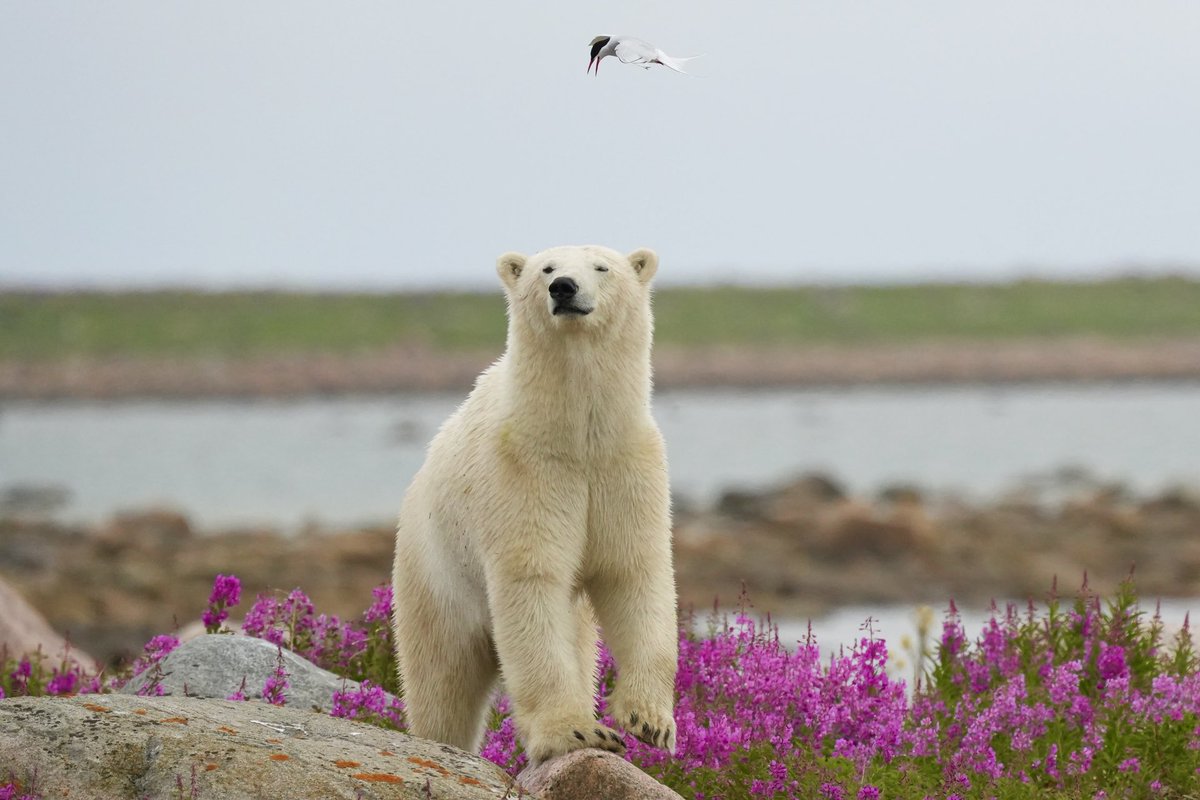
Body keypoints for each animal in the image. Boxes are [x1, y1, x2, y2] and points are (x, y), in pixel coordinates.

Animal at [391, 245, 678, 765]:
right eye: (546, 268)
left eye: (602, 267)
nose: (563, 287)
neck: (576, 437)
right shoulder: (523, 472)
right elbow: (531, 583)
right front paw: (576, 732)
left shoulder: (625, 467)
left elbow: (634, 573)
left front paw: (649, 721)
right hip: (437, 575)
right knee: (441, 679)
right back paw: (441, 742)